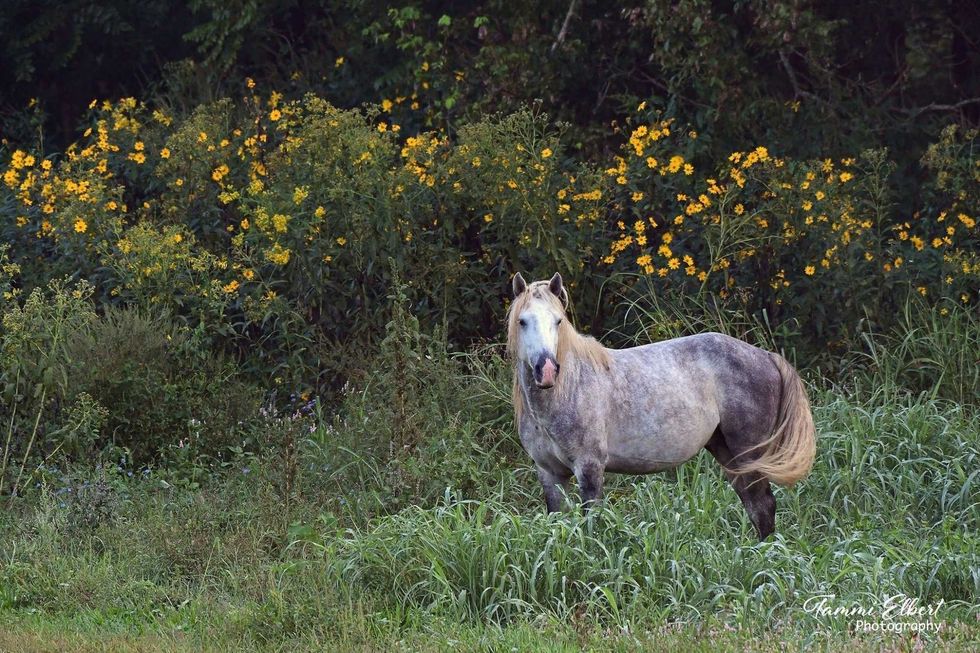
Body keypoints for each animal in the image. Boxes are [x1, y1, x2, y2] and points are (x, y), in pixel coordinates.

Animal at [507, 272, 816, 540]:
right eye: (522, 321)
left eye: (558, 321)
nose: (547, 370)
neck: (567, 390)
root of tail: (766, 356)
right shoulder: (550, 474)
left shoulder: (589, 467)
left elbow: (592, 523)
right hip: (727, 451)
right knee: (754, 503)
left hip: (749, 451)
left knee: (763, 505)